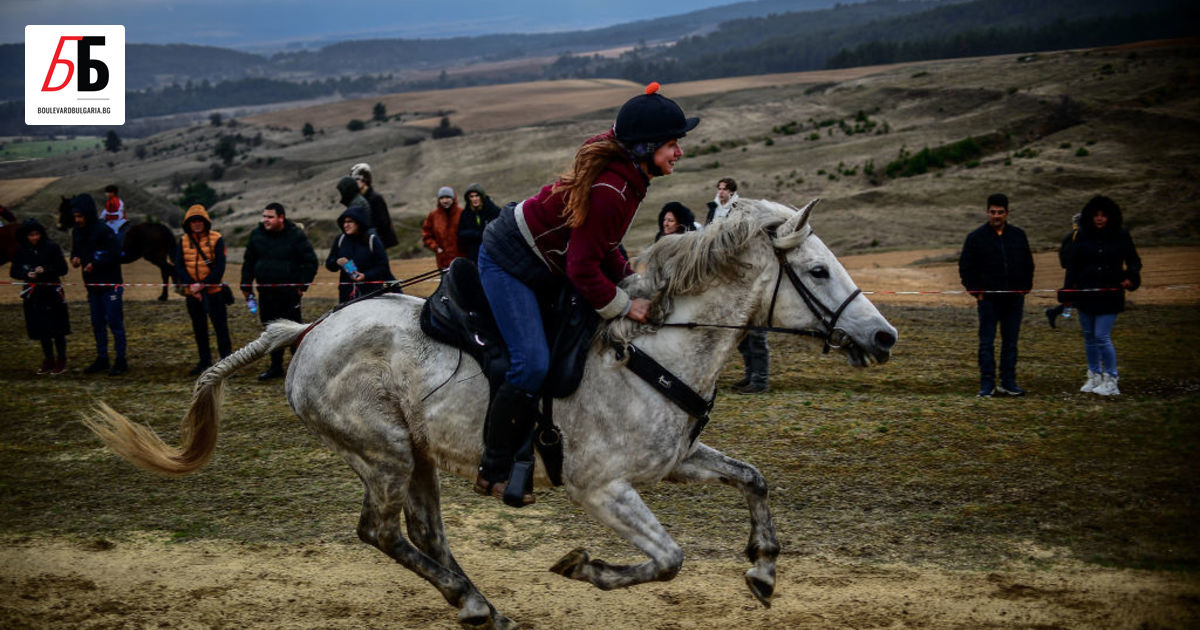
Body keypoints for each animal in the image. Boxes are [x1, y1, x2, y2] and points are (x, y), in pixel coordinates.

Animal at [87, 200, 892, 628]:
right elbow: (667, 559)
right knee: (381, 532)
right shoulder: (602, 488)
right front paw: (585, 568)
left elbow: (753, 479)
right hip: (381, 453)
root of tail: (309, 329)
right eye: (817, 270)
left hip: (414, 456)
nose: (882, 336)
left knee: (422, 532)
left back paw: (477, 601)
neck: (653, 346)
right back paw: (472, 603)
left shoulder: (674, 462)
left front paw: (763, 570)